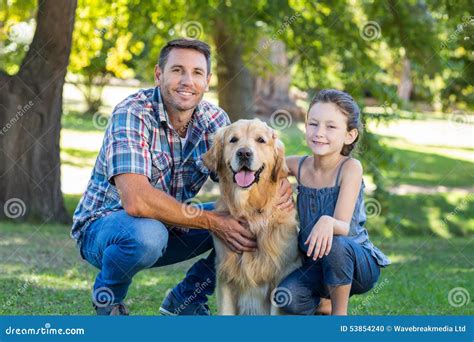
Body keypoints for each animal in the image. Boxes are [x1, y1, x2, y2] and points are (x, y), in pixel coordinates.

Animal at [203, 118, 300, 316]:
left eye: (260, 140)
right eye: (233, 139)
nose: (244, 153)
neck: (250, 211)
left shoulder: (280, 278)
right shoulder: (225, 277)